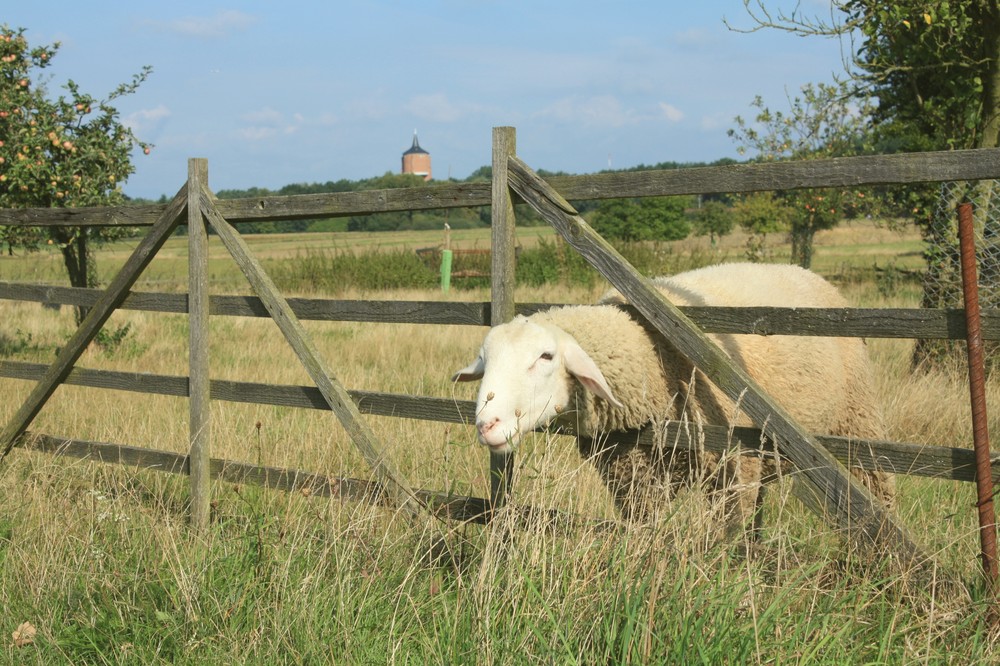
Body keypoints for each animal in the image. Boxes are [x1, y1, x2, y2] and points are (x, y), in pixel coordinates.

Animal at [458, 262, 896, 528]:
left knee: (877, 493)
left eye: (546, 356)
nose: (487, 424)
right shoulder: (631, 476)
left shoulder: (734, 467)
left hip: (856, 427)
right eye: (485, 360)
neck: (649, 354)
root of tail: (806, 271)